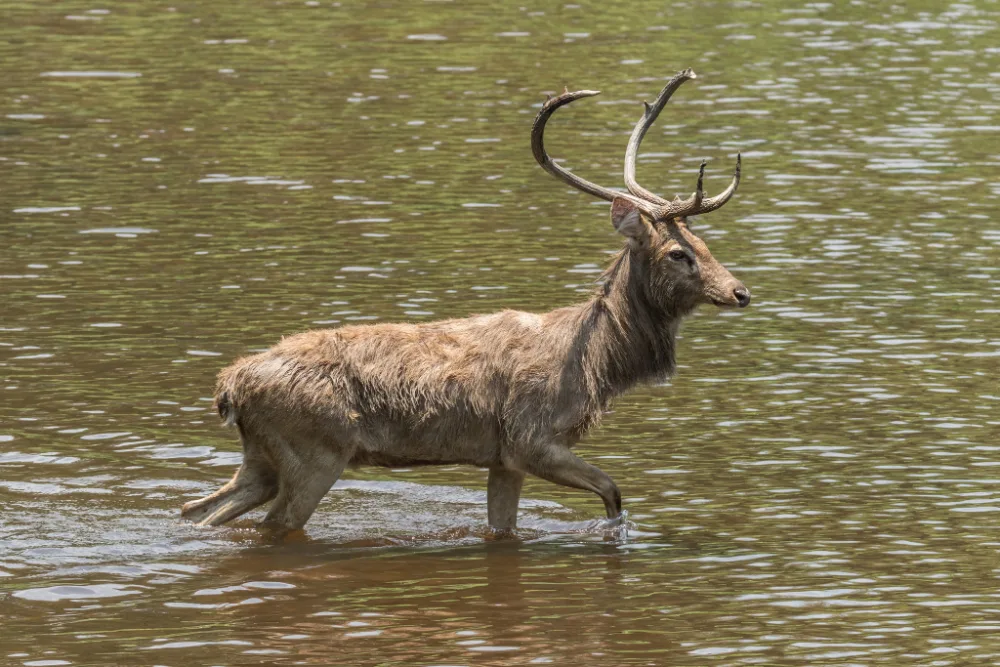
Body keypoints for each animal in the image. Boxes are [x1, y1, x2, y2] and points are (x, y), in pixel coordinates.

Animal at [180, 68, 751, 536]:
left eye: (705, 243)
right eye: (678, 253)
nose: (740, 291)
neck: (594, 366)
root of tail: (229, 388)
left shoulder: (503, 459)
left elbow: (504, 529)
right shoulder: (530, 438)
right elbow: (614, 492)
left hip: (262, 456)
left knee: (196, 510)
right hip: (315, 451)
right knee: (270, 524)